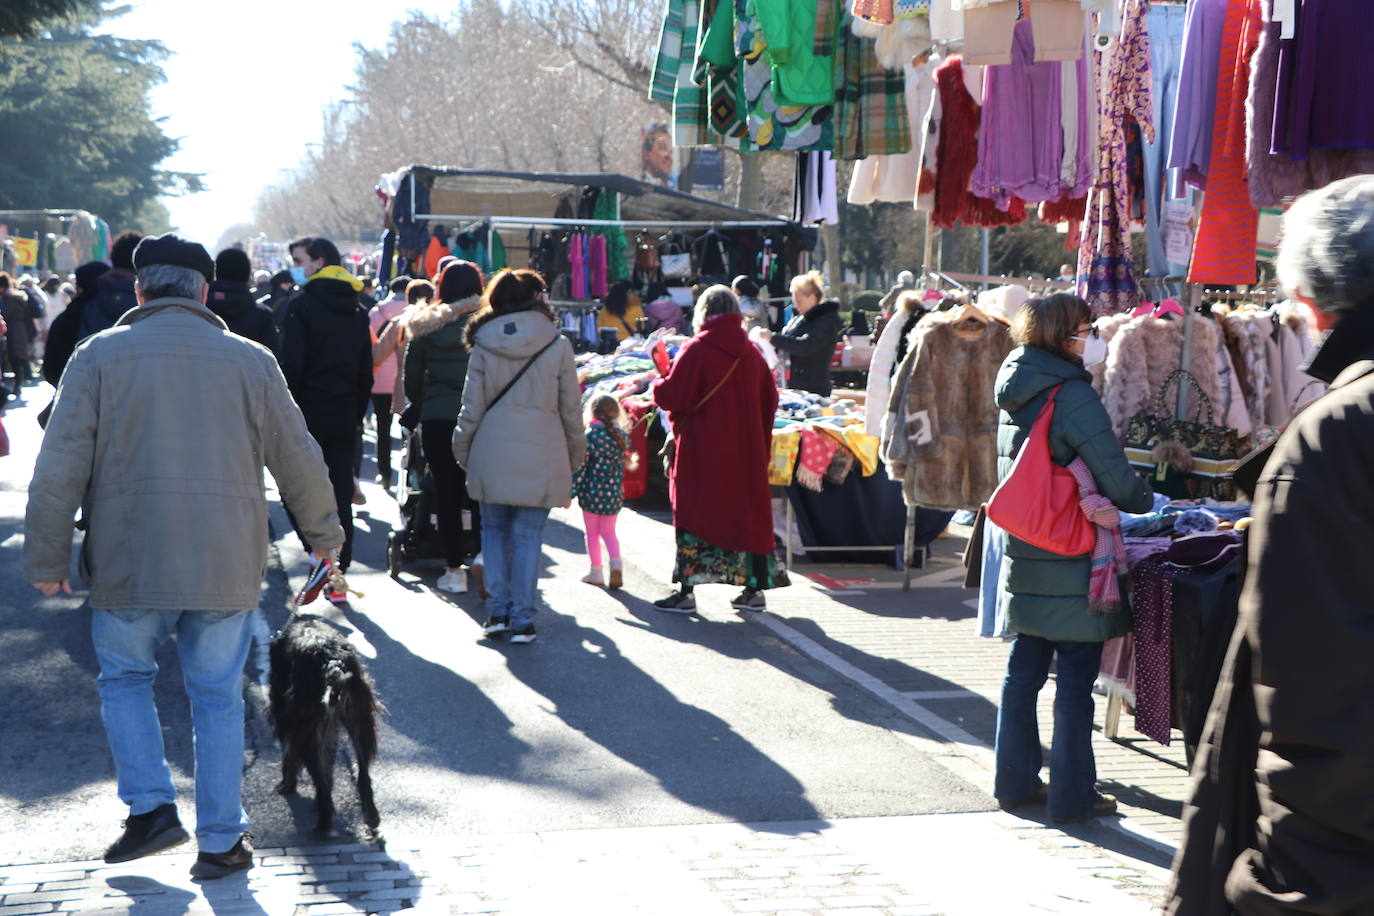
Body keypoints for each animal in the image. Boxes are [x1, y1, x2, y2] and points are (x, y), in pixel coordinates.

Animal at [270, 615, 384, 840]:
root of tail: (333, 663)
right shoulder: (328, 728)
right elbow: (328, 766)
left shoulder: (287, 716)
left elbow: (290, 755)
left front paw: (287, 784)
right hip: (359, 721)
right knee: (362, 774)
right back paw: (370, 815)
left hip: (307, 729)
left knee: (319, 778)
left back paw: (323, 824)